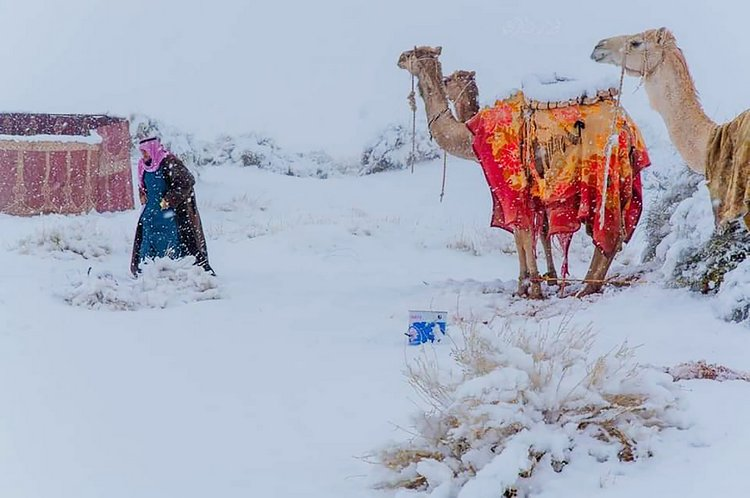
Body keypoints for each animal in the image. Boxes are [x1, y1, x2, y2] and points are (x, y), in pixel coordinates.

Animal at [400, 46, 652, 298]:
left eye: (412, 55)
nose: (399, 59)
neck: (470, 134)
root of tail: (627, 127)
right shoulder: (535, 189)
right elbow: (537, 231)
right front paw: (544, 280)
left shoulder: (510, 182)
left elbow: (521, 231)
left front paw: (529, 287)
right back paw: (587, 285)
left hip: (602, 172)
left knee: (608, 233)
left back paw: (585, 287)